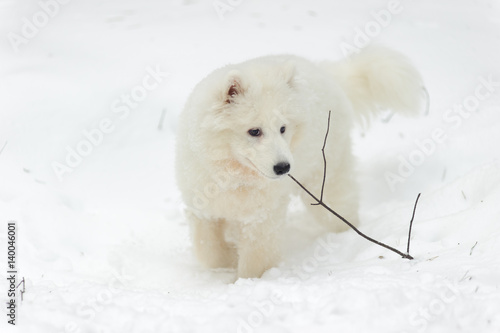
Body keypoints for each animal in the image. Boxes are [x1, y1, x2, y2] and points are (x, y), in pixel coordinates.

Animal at [176, 45, 426, 276]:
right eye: (254, 131)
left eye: (283, 128)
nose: (283, 167)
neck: (236, 176)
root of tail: (329, 75)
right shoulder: (203, 208)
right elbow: (208, 251)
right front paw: (227, 259)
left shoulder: (263, 217)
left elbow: (256, 258)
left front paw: (248, 280)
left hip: (326, 177)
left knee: (341, 208)